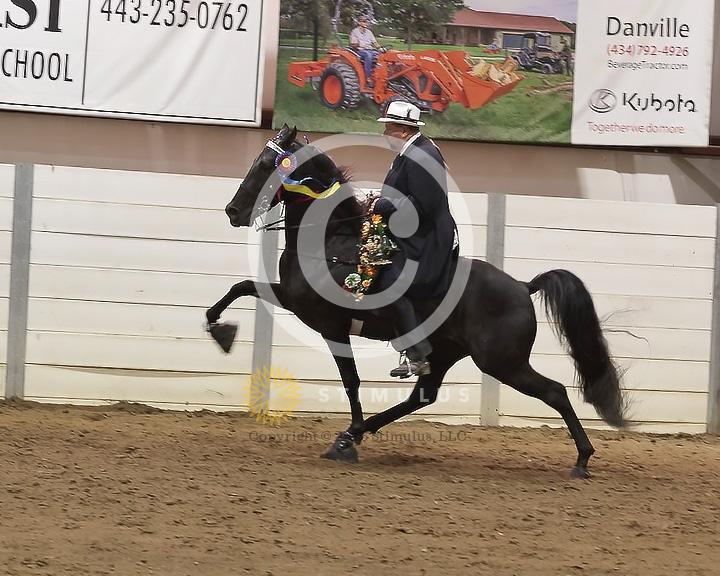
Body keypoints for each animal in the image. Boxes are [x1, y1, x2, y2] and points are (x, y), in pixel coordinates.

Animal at [206, 124, 626, 478]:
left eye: (265, 164)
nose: (232, 211)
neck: (331, 241)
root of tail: (523, 287)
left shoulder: (328, 325)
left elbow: (351, 381)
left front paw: (351, 430)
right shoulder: (293, 299)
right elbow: (242, 286)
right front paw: (221, 331)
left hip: (503, 362)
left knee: (554, 391)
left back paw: (582, 460)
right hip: (447, 353)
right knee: (422, 396)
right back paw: (354, 435)